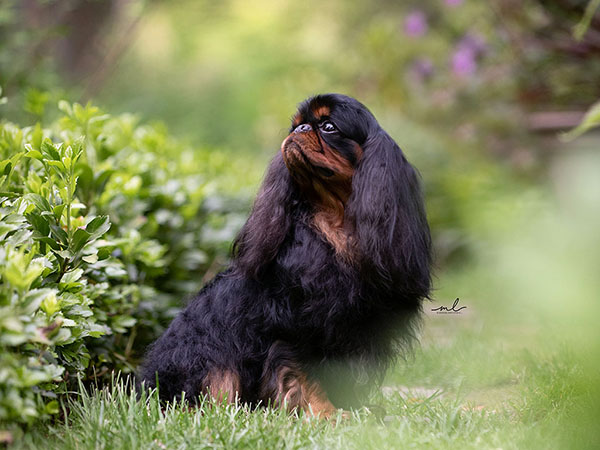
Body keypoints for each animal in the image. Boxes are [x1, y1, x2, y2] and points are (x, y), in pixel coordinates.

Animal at [141, 92, 432, 418]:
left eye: (328, 126)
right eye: (296, 125)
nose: (301, 129)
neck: (337, 223)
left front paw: (355, 409)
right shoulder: (296, 324)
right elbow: (306, 372)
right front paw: (326, 414)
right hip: (207, 354)